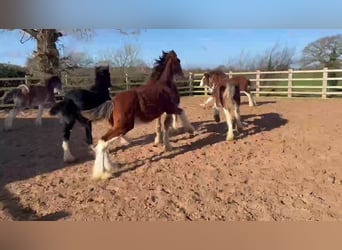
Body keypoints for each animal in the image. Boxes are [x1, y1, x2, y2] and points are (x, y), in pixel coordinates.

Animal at [82, 50, 194, 180]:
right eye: (178, 61)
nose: (182, 75)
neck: (164, 85)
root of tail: (112, 102)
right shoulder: (171, 108)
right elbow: (181, 112)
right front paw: (190, 130)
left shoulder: (167, 111)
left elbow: (166, 126)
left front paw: (167, 145)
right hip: (124, 126)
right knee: (103, 142)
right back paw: (102, 174)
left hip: (119, 126)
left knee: (104, 144)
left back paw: (109, 168)